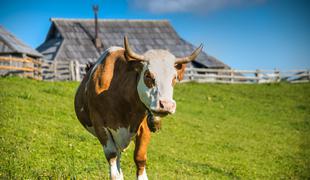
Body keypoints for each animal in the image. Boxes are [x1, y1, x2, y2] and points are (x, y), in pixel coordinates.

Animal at [74, 35, 202, 179]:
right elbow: (112, 161)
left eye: (174, 77)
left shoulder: (143, 126)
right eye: (148, 75)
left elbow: (140, 157)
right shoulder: (100, 126)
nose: (167, 105)